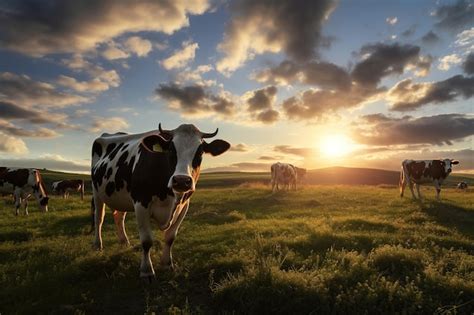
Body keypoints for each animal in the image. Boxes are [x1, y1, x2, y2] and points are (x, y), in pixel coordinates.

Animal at [91, 123, 231, 282]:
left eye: (200, 152)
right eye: (170, 149)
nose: (181, 180)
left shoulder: (184, 205)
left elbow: (170, 237)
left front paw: (167, 264)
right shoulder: (141, 202)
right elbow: (146, 241)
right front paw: (147, 271)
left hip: (120, 195)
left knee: (119, 217)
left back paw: (124, 242)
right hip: (96, 192)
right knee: (99, 218)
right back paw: (98, 245)